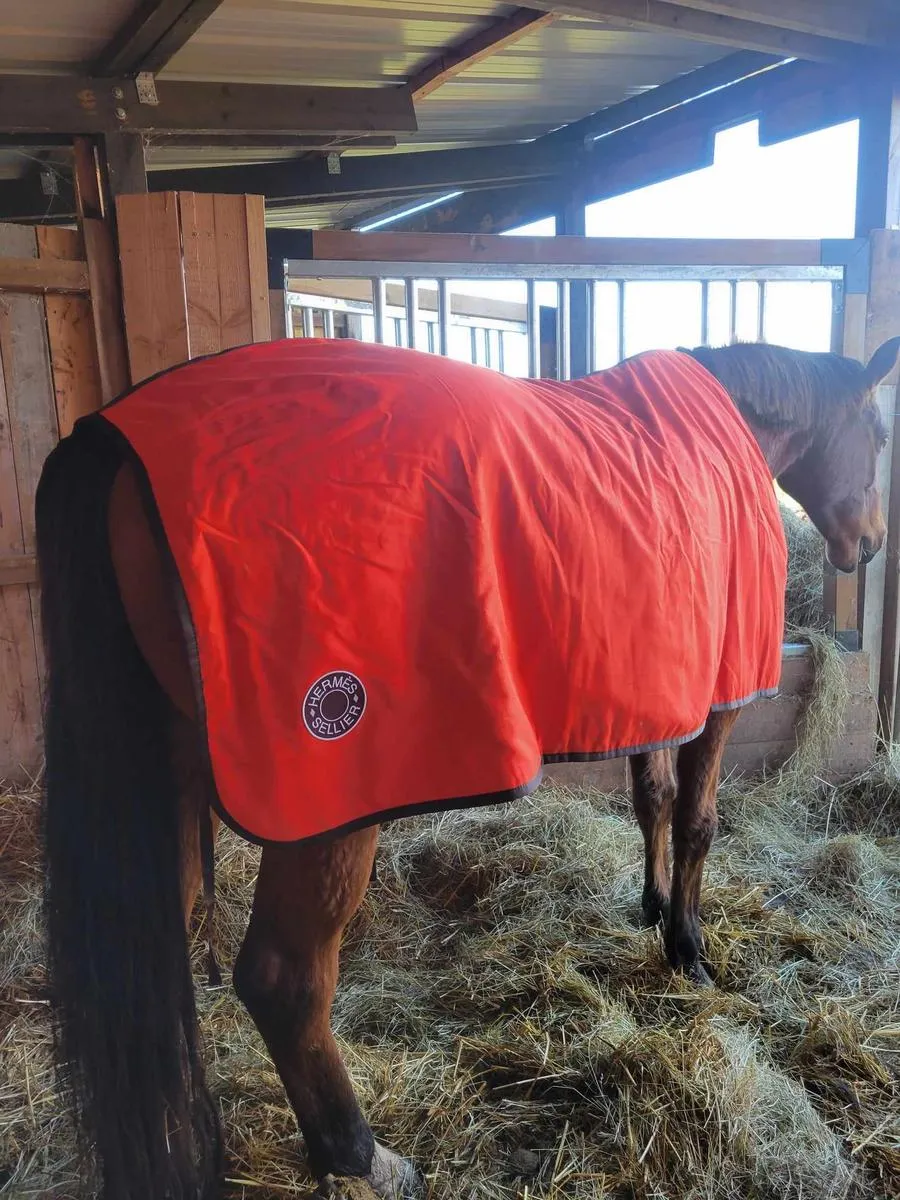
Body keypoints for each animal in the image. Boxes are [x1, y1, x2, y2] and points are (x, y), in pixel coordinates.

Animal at [33, 331, 897, 1200]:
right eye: (880, 434)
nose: (872, 543)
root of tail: (117, 436)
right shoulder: (717, 699)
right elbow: (696, 821)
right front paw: (688, 950)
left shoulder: (661, 687)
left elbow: (652, 800)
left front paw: (653, 909)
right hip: (327, 808)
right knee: (283, 980)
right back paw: (363, 1155)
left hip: (173, 765)